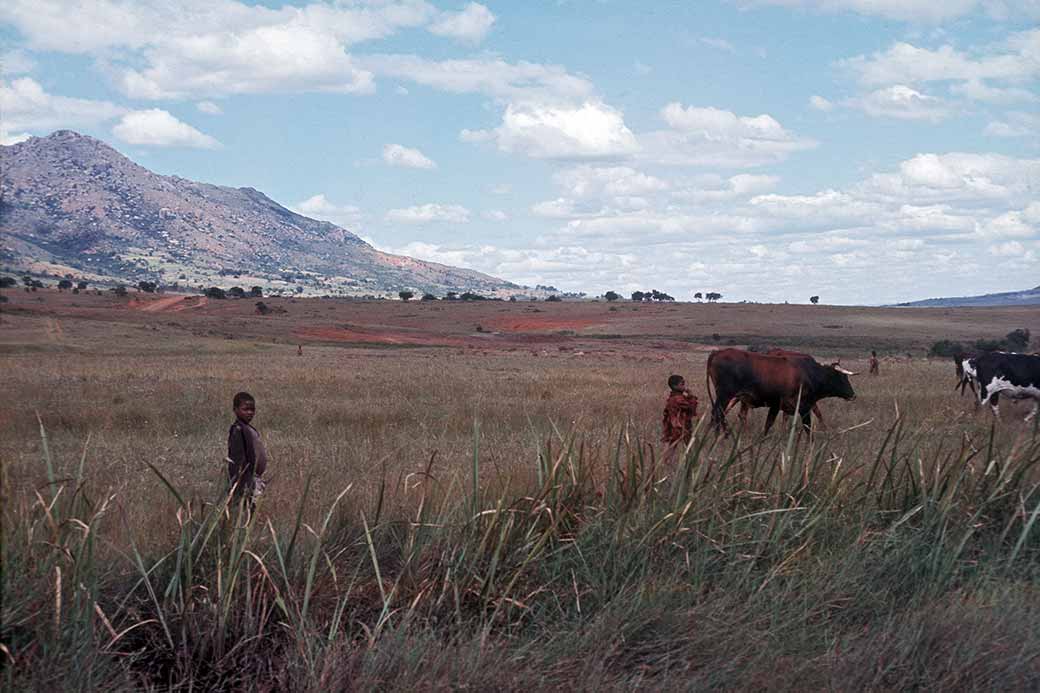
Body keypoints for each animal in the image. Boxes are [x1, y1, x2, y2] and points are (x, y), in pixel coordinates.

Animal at [711, 345, 856, 432]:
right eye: (841, 378)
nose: (853, 395)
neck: (811, 373)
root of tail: (717, 353)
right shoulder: (803, 405)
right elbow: (811, 422)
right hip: (727, 396)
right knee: (721, 413)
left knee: (733, 414)